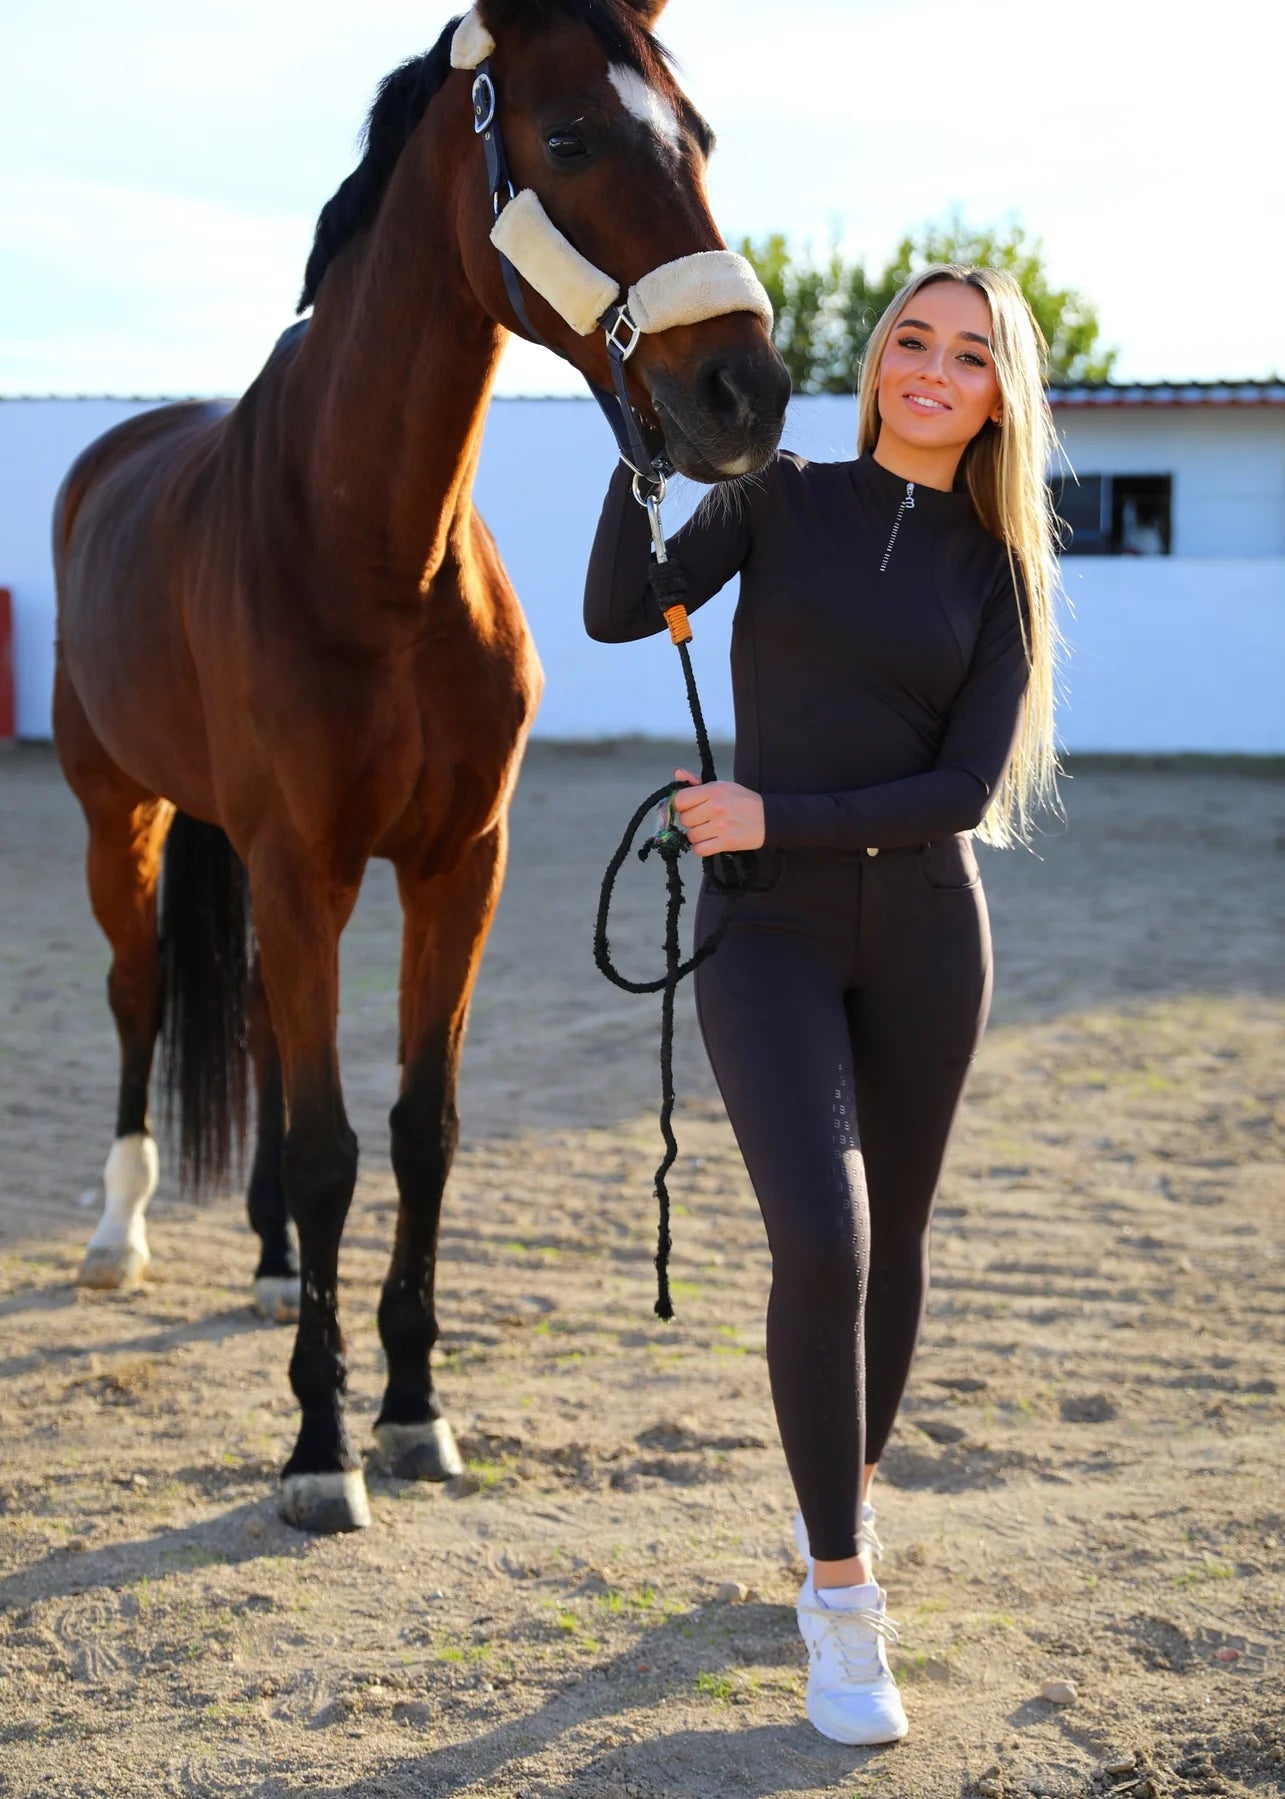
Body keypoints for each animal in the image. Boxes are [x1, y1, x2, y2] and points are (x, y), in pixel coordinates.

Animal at [52, 0, 790, 1533]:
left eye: (697, 136)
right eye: (569, 138)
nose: (745, 391)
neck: (373, 551)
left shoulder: (457, 865)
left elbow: (417, 1130)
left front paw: (409, 1407)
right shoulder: (305, 864)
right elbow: (335, 1145)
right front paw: (318, 1444)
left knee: (256, 1018)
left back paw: (273, 1262)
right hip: (120, 813)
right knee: (141, 993)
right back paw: (117, 1231)